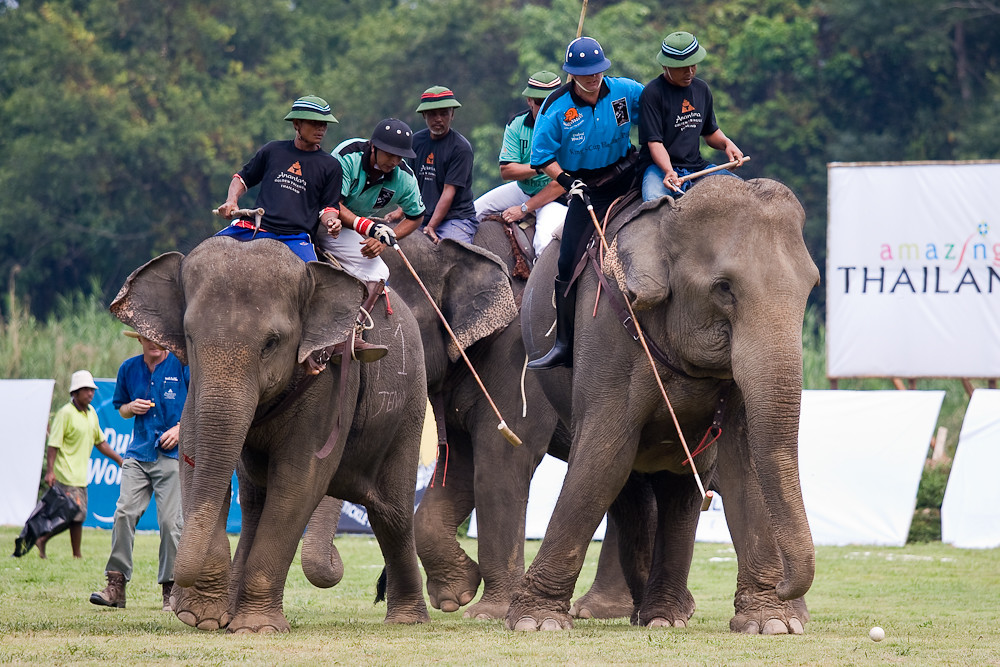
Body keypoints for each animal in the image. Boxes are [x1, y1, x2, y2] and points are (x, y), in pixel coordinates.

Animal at [109, 235, 430, 633]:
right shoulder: (195, 385)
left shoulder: (328, 377)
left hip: (409, 404)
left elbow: (298, 480)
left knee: (392, 514)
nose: (175, 601)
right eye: (189, 337)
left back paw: (407, 620)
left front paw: (254, 627)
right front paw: (204, 618)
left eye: (271, 343)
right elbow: (195, 456)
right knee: (254, 504)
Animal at [506, 176, 820, 634]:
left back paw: (664, 615)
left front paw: (771, 623)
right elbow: (603, 457)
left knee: (679, 484)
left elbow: (744, 463)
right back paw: (656, 613)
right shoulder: (608, 326)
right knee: (628, 483)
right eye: (724, 287)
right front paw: (537, 622)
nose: (783, 587)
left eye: (812, 286)